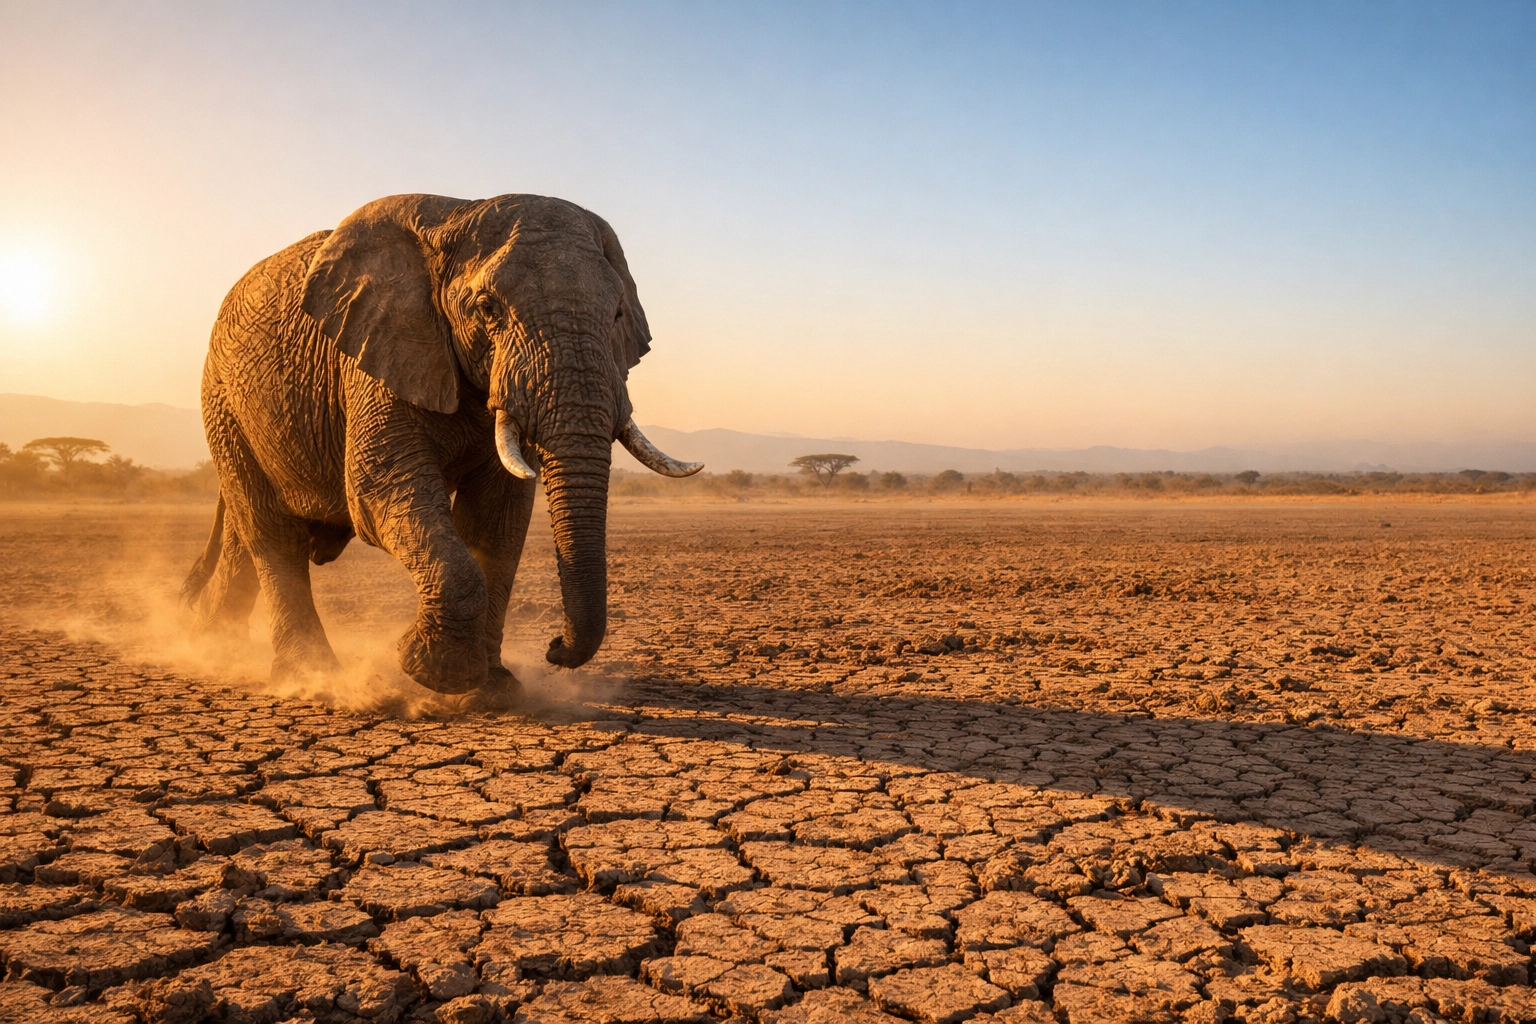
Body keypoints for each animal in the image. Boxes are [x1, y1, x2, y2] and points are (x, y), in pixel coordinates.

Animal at [181, 193, 701, 694]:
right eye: (488, 309)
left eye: (617, 314)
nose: (554, 647)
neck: (461, 214)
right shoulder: (378, 356)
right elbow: (377, 491)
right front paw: (430, 672)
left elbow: (497, 515)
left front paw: (493, 692)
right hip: (223, 402)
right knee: (271, 534)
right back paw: (309, 676)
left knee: (248, 537)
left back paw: (214, 643)